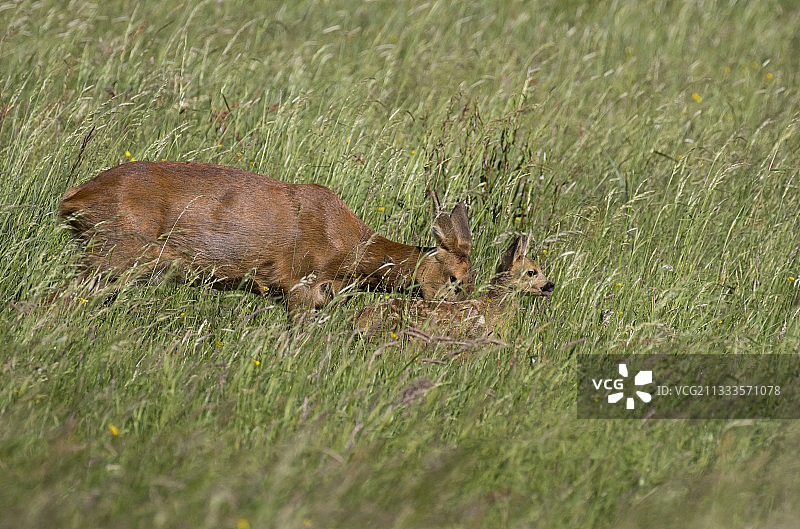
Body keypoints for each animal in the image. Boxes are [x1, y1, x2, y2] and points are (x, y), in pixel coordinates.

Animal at [59, 160, 473, 317]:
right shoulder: (301, 283)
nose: (458, 311)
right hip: (113, 253)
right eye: (455, 279)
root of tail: (72, 198)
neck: (351, 248)